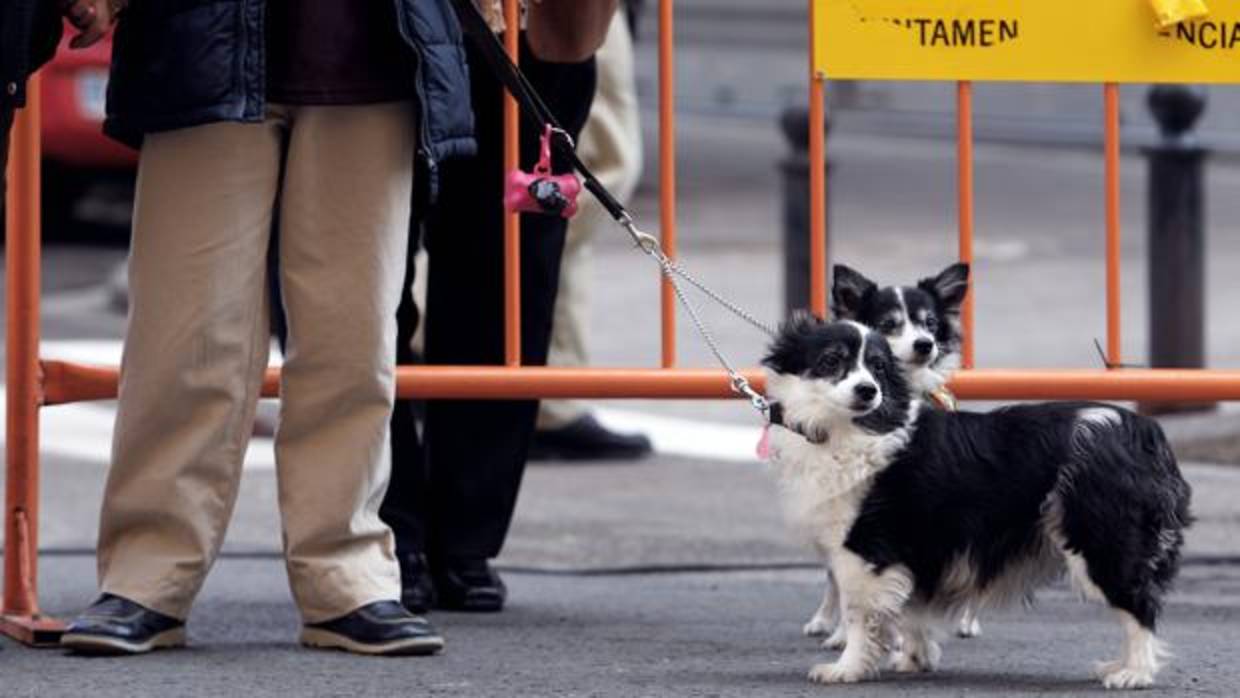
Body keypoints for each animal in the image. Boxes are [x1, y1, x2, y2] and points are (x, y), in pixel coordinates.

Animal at [763, 319, 1190, 689]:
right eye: (831, 361)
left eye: (878, 368)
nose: (869, 390)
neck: (855, 429)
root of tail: (1143, 430)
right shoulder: (919, 547)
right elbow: (912, 607)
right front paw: (916, 658)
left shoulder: (864, 550)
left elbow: (859, 615)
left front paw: (847, 668)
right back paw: (1121, 665)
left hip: (1100, 539)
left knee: (1139, 604)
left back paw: (1134, 673)